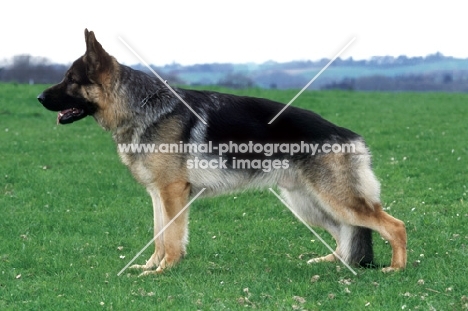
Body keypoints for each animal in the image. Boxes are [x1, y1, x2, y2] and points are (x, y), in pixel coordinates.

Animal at [37, 29, 406, 276]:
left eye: (70, 80)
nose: (39, 97)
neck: (140, 106)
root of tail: (350, 135)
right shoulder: (158, 194)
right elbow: (158, 236)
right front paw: (150, 266)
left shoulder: (173, 192)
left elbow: (172, 237)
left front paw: (163, 271)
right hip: (308, 205)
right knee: (346, 235)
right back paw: (332, 262)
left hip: (334, 200)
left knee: (394, 225)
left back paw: (395, 269)